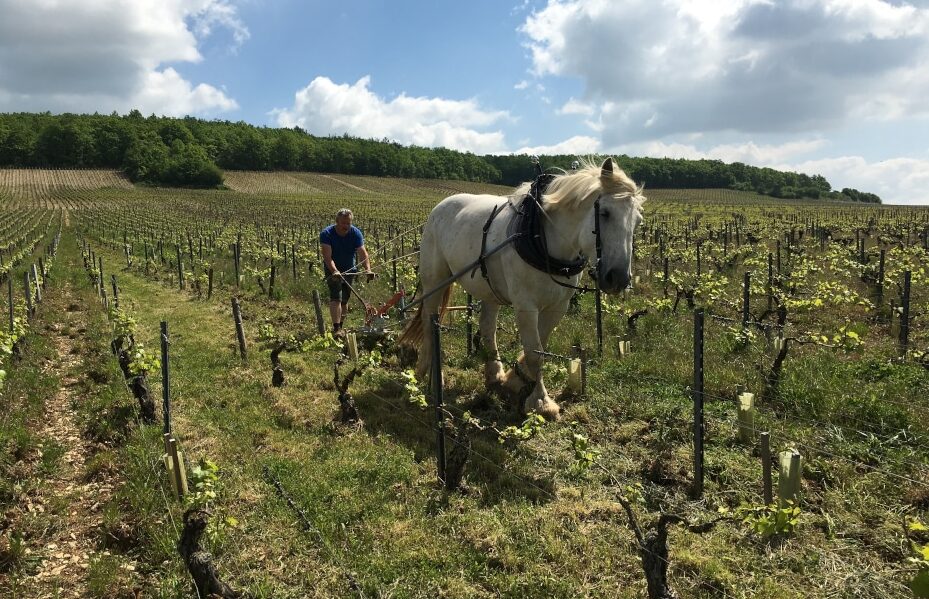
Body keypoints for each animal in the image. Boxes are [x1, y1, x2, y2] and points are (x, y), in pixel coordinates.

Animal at [398, 159, 644, 422]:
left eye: (638, 221)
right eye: (604, 213)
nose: (618, 278)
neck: (544, 239)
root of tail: (440, 207)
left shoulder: (558, 306)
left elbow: (540, 347)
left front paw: (515, 380)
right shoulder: (525, 306)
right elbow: (536, 353)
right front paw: (541, 402)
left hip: (489, 289)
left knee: (487, 328)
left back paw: (494, 374)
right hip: (435, 280)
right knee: (429, 321)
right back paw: (428, 373)